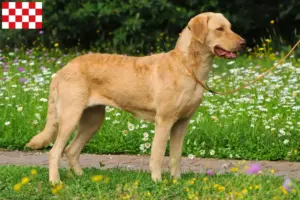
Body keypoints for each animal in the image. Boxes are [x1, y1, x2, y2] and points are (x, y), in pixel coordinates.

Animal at [25, 11, 245, 183]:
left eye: (230, 27)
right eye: (219, 29)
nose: (243, 43)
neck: (188, 67)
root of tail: (63, 69)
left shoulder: (182, 123)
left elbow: (176, 156)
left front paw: (176, 181)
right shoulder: (164, 121)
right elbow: (157, 155)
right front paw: (157, 181)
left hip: (93, 119)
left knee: (71, 150)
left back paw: (82, 177)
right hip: (70, 117)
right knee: (55, 151)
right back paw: (55, 182)